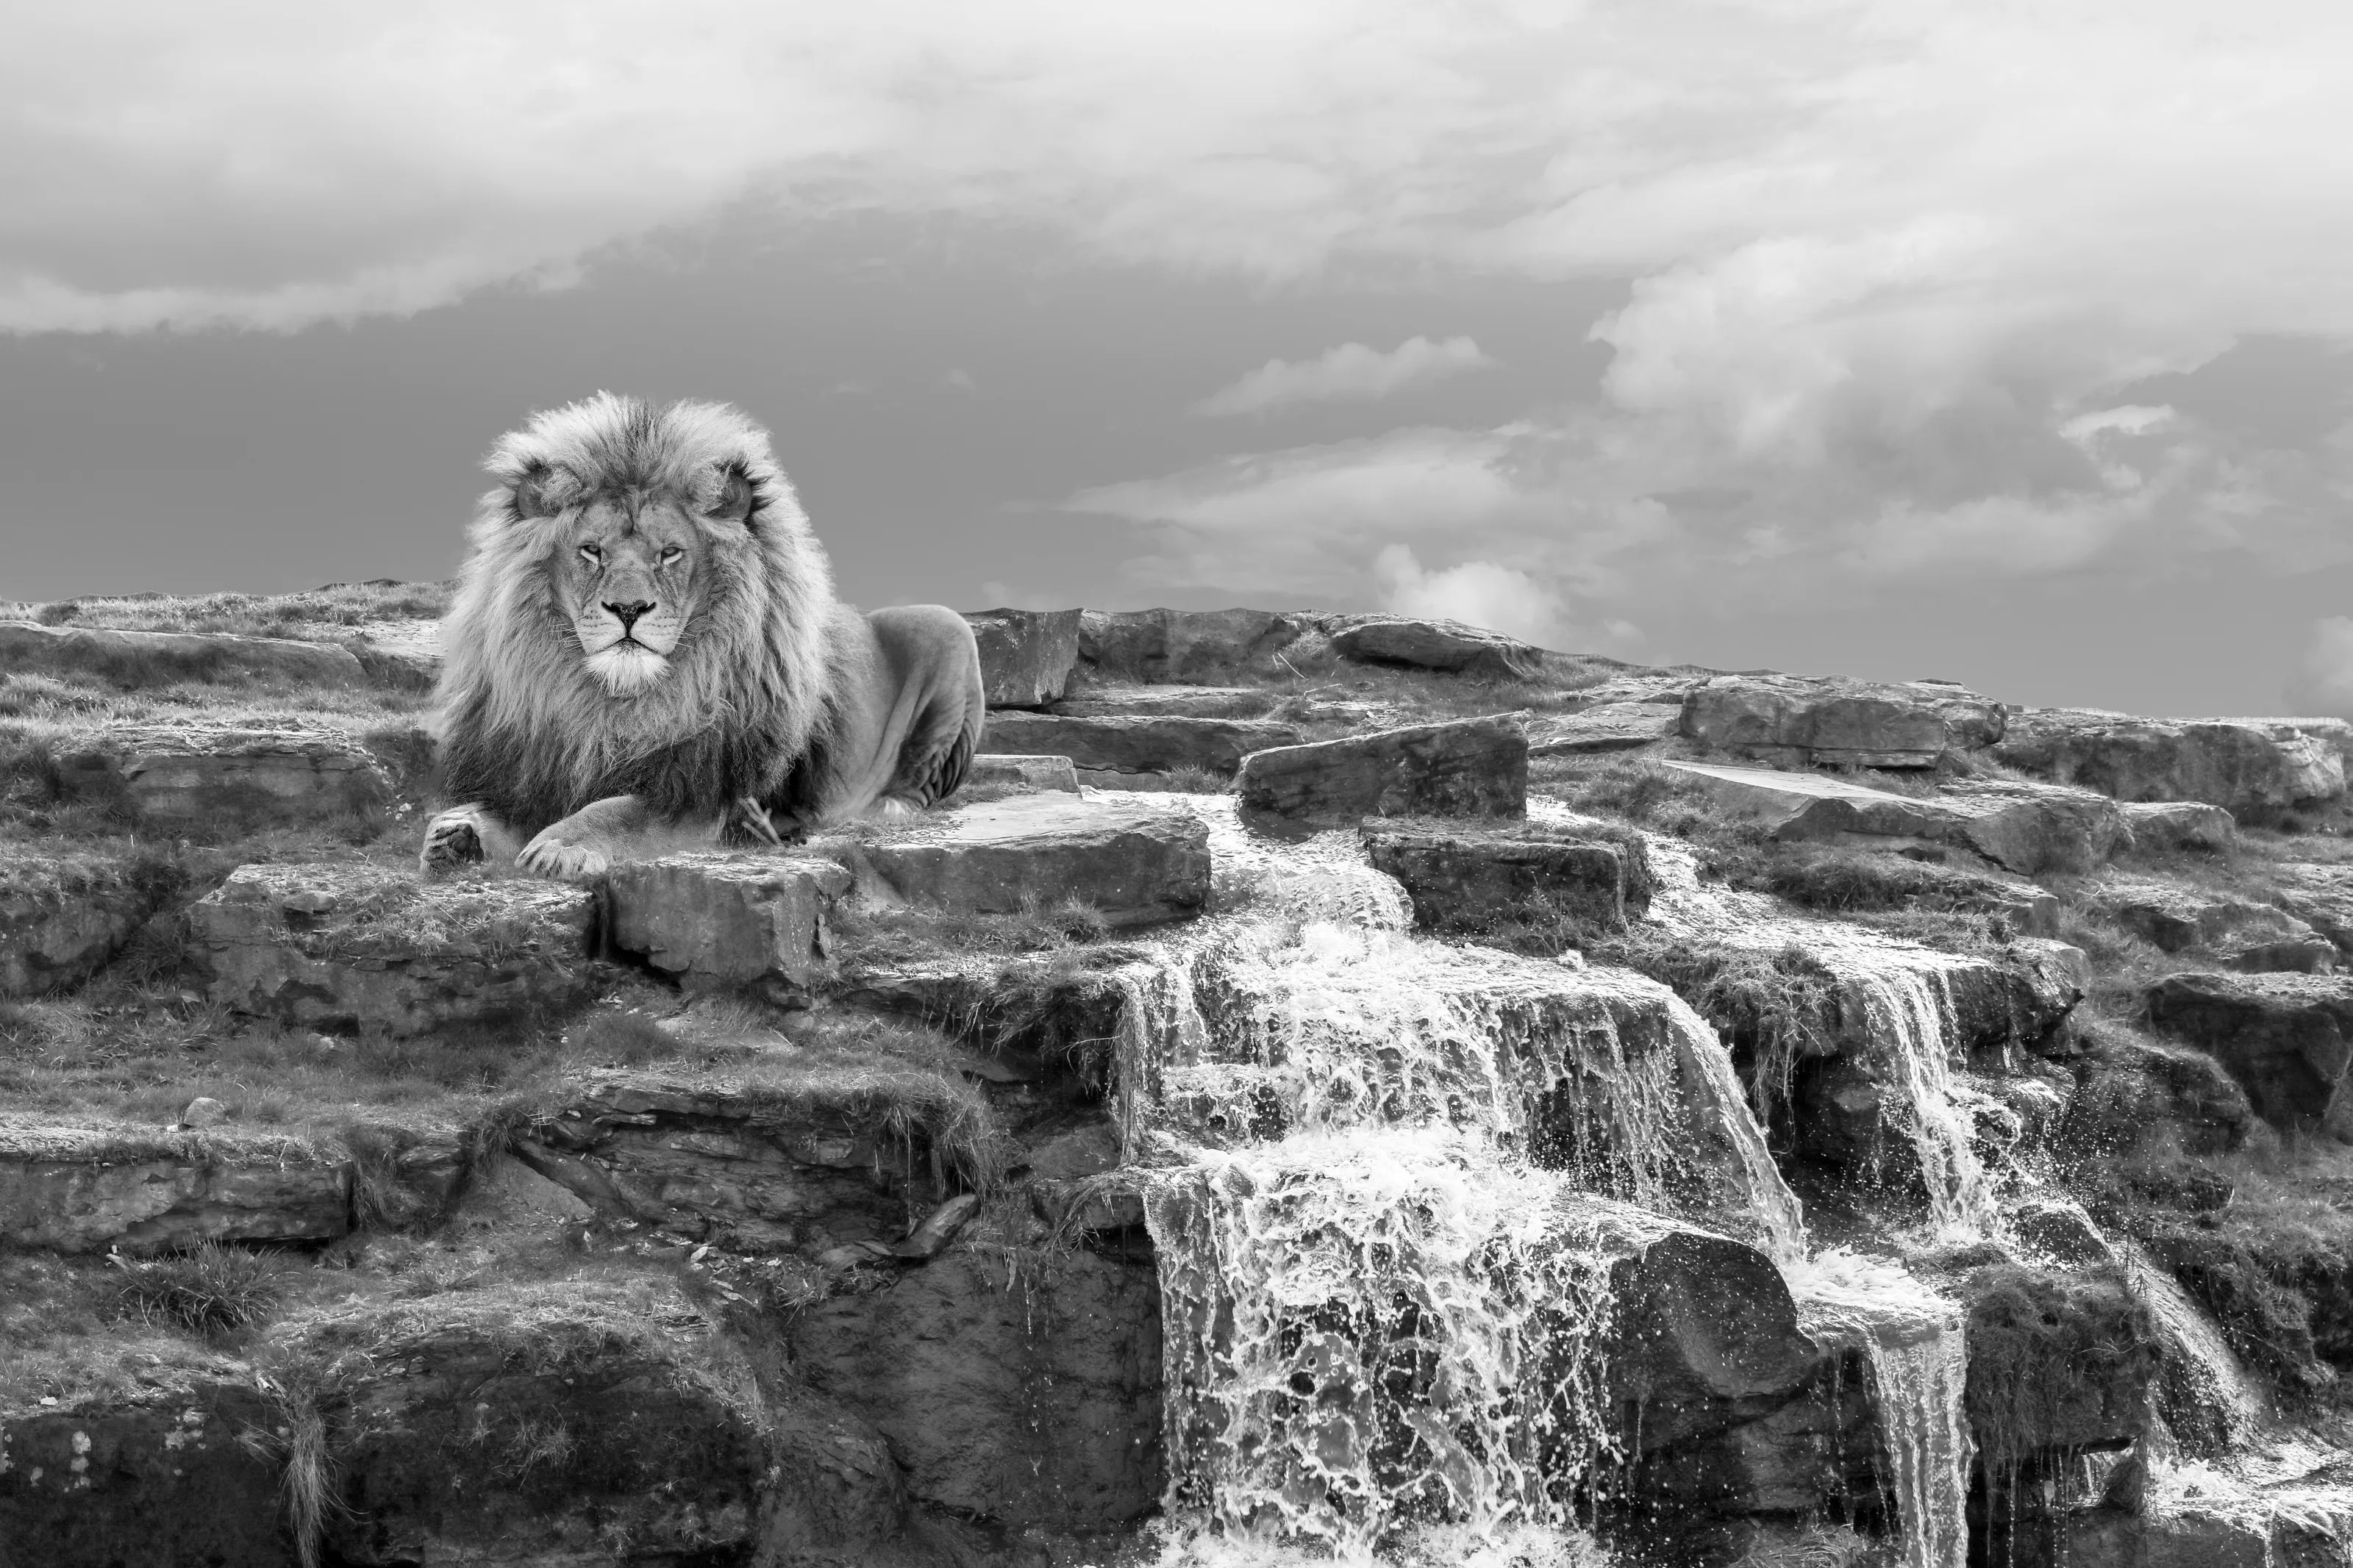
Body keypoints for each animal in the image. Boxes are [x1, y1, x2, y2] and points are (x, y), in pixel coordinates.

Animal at [419, 392, 986, 880]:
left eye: (670, 553)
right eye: (592, 551)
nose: (628, 608)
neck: (610, 705)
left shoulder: (708, 797)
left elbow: (621, 809)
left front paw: (560, 846)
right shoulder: (528, 771)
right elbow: (491, 808)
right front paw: (455, 835)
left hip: (949, 629)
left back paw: (885, 808)